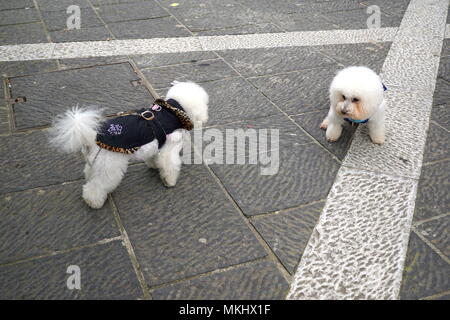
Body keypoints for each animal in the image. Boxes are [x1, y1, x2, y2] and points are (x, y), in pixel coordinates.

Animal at [48, 81, 210, 209]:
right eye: (205, 104)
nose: (206, 116)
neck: (172, 112)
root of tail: (92, 138)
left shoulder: (155, 147)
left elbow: (153, 158)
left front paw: (154, 166)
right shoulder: (168, 149)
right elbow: (169, 165)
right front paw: (169, 181)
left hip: (96, 163)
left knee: (90, 174)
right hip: (109, 167)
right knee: (97, 186)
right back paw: (93, 202)